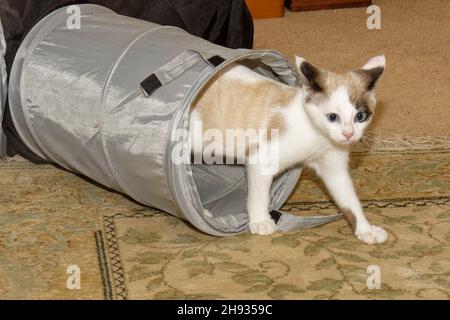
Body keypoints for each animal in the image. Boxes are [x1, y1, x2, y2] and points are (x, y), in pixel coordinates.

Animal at [189, 55, 386, 245]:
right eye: (332, 117)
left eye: (360, 116)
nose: (348, 134)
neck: (319, 137)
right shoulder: (261, 159)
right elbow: (259, 195)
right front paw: (260, 221)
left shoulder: (335, 170)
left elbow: (351, 201)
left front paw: (366, 230)